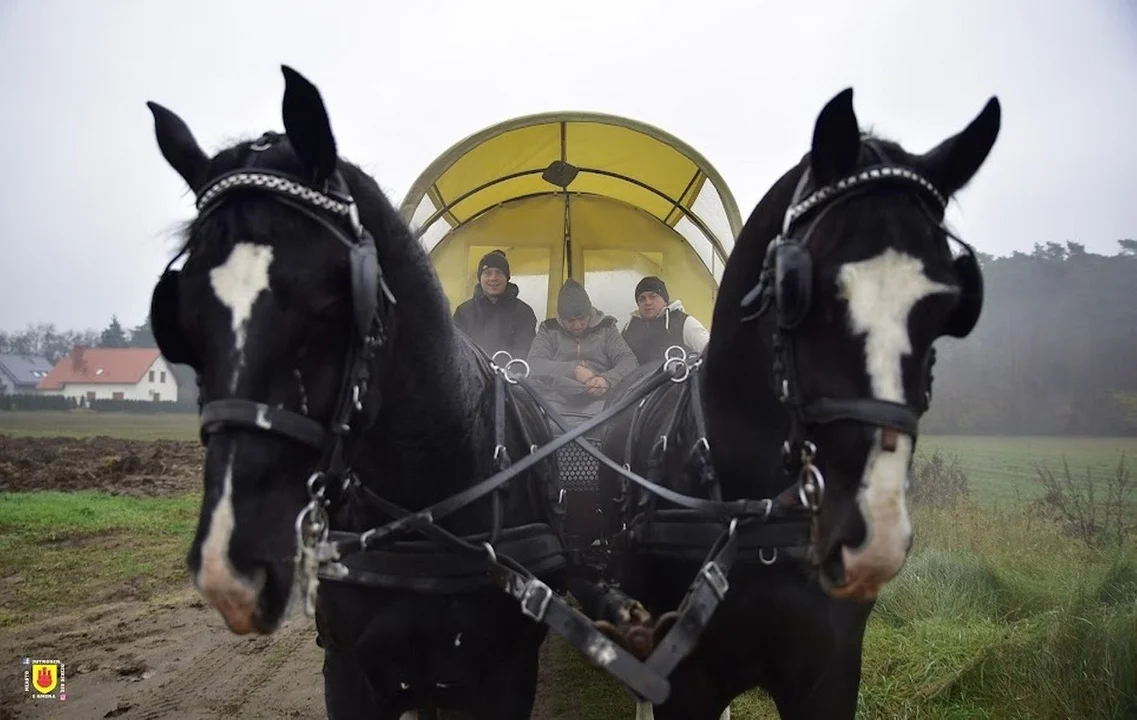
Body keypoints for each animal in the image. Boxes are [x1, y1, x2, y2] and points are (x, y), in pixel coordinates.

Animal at [145, 64, 582, 714]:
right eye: (185, 316)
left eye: (332, 302)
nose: (231, 572)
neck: (422, 513)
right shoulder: (352, 677)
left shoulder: (503, 681)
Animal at [600, 89, 1000, 718]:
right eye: (799, 291)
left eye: (948, 305)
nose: (871, 536)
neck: (754, 516)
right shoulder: (685, 681)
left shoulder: (828, 674)